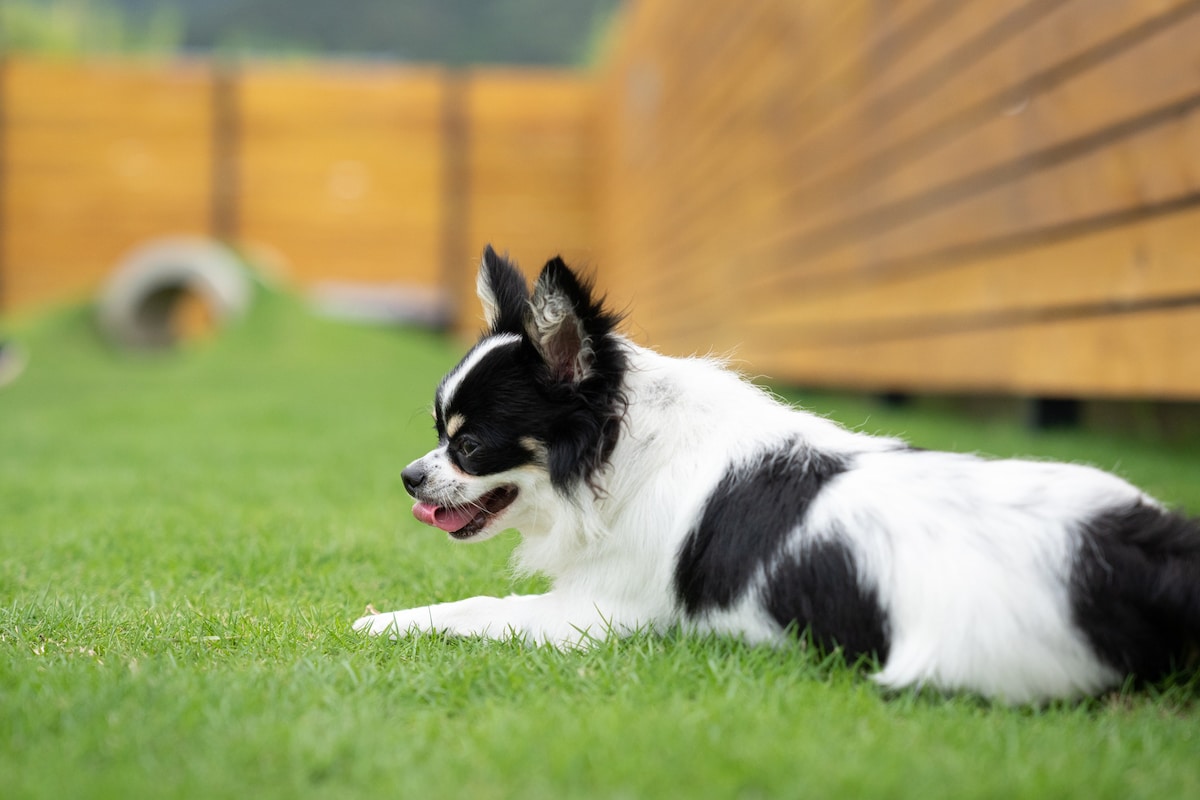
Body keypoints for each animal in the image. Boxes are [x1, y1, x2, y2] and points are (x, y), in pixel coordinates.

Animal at [355, 247, 1200, 705]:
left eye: (469, 446)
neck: (623, 453)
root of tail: (1135, 548)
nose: (406, 477)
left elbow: (473, 608)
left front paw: (384, 621)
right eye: (435, 435)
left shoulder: (592, 617)